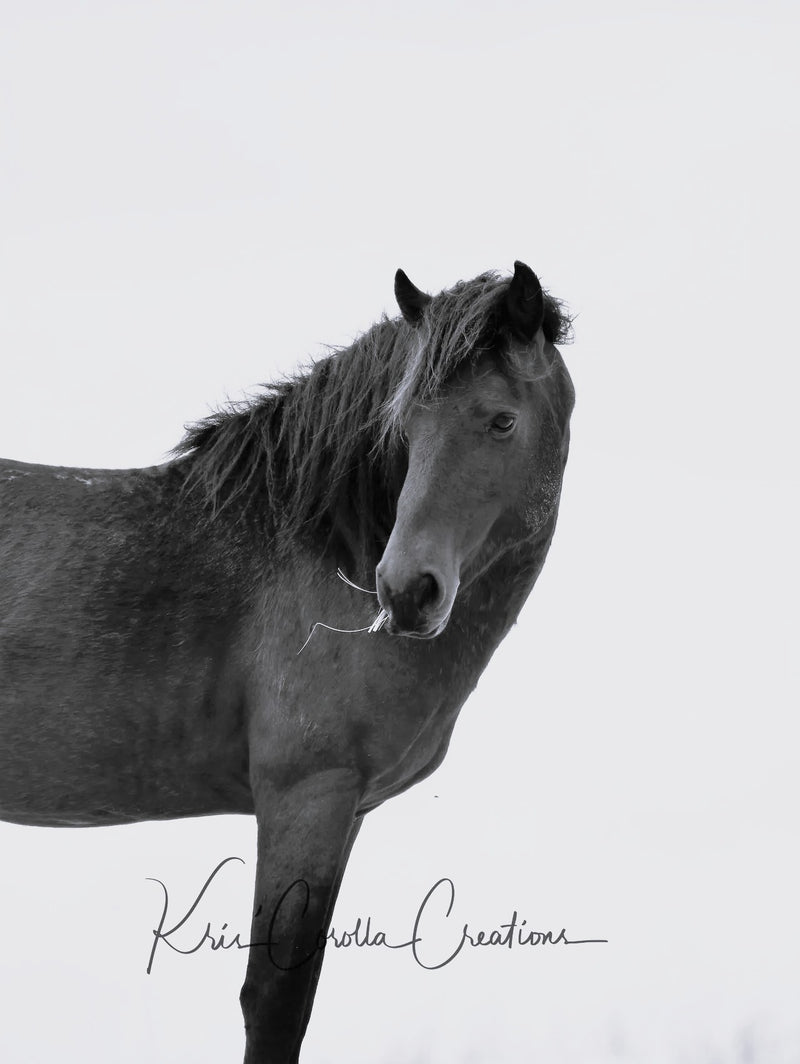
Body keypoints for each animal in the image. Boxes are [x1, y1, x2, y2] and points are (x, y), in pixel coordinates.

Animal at [0, 260, 574, 1063]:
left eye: (501, 420)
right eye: (405, 426)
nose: (406, 591)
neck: (316, 550)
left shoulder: (344, 810)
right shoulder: (306, 796)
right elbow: (274, 1004)